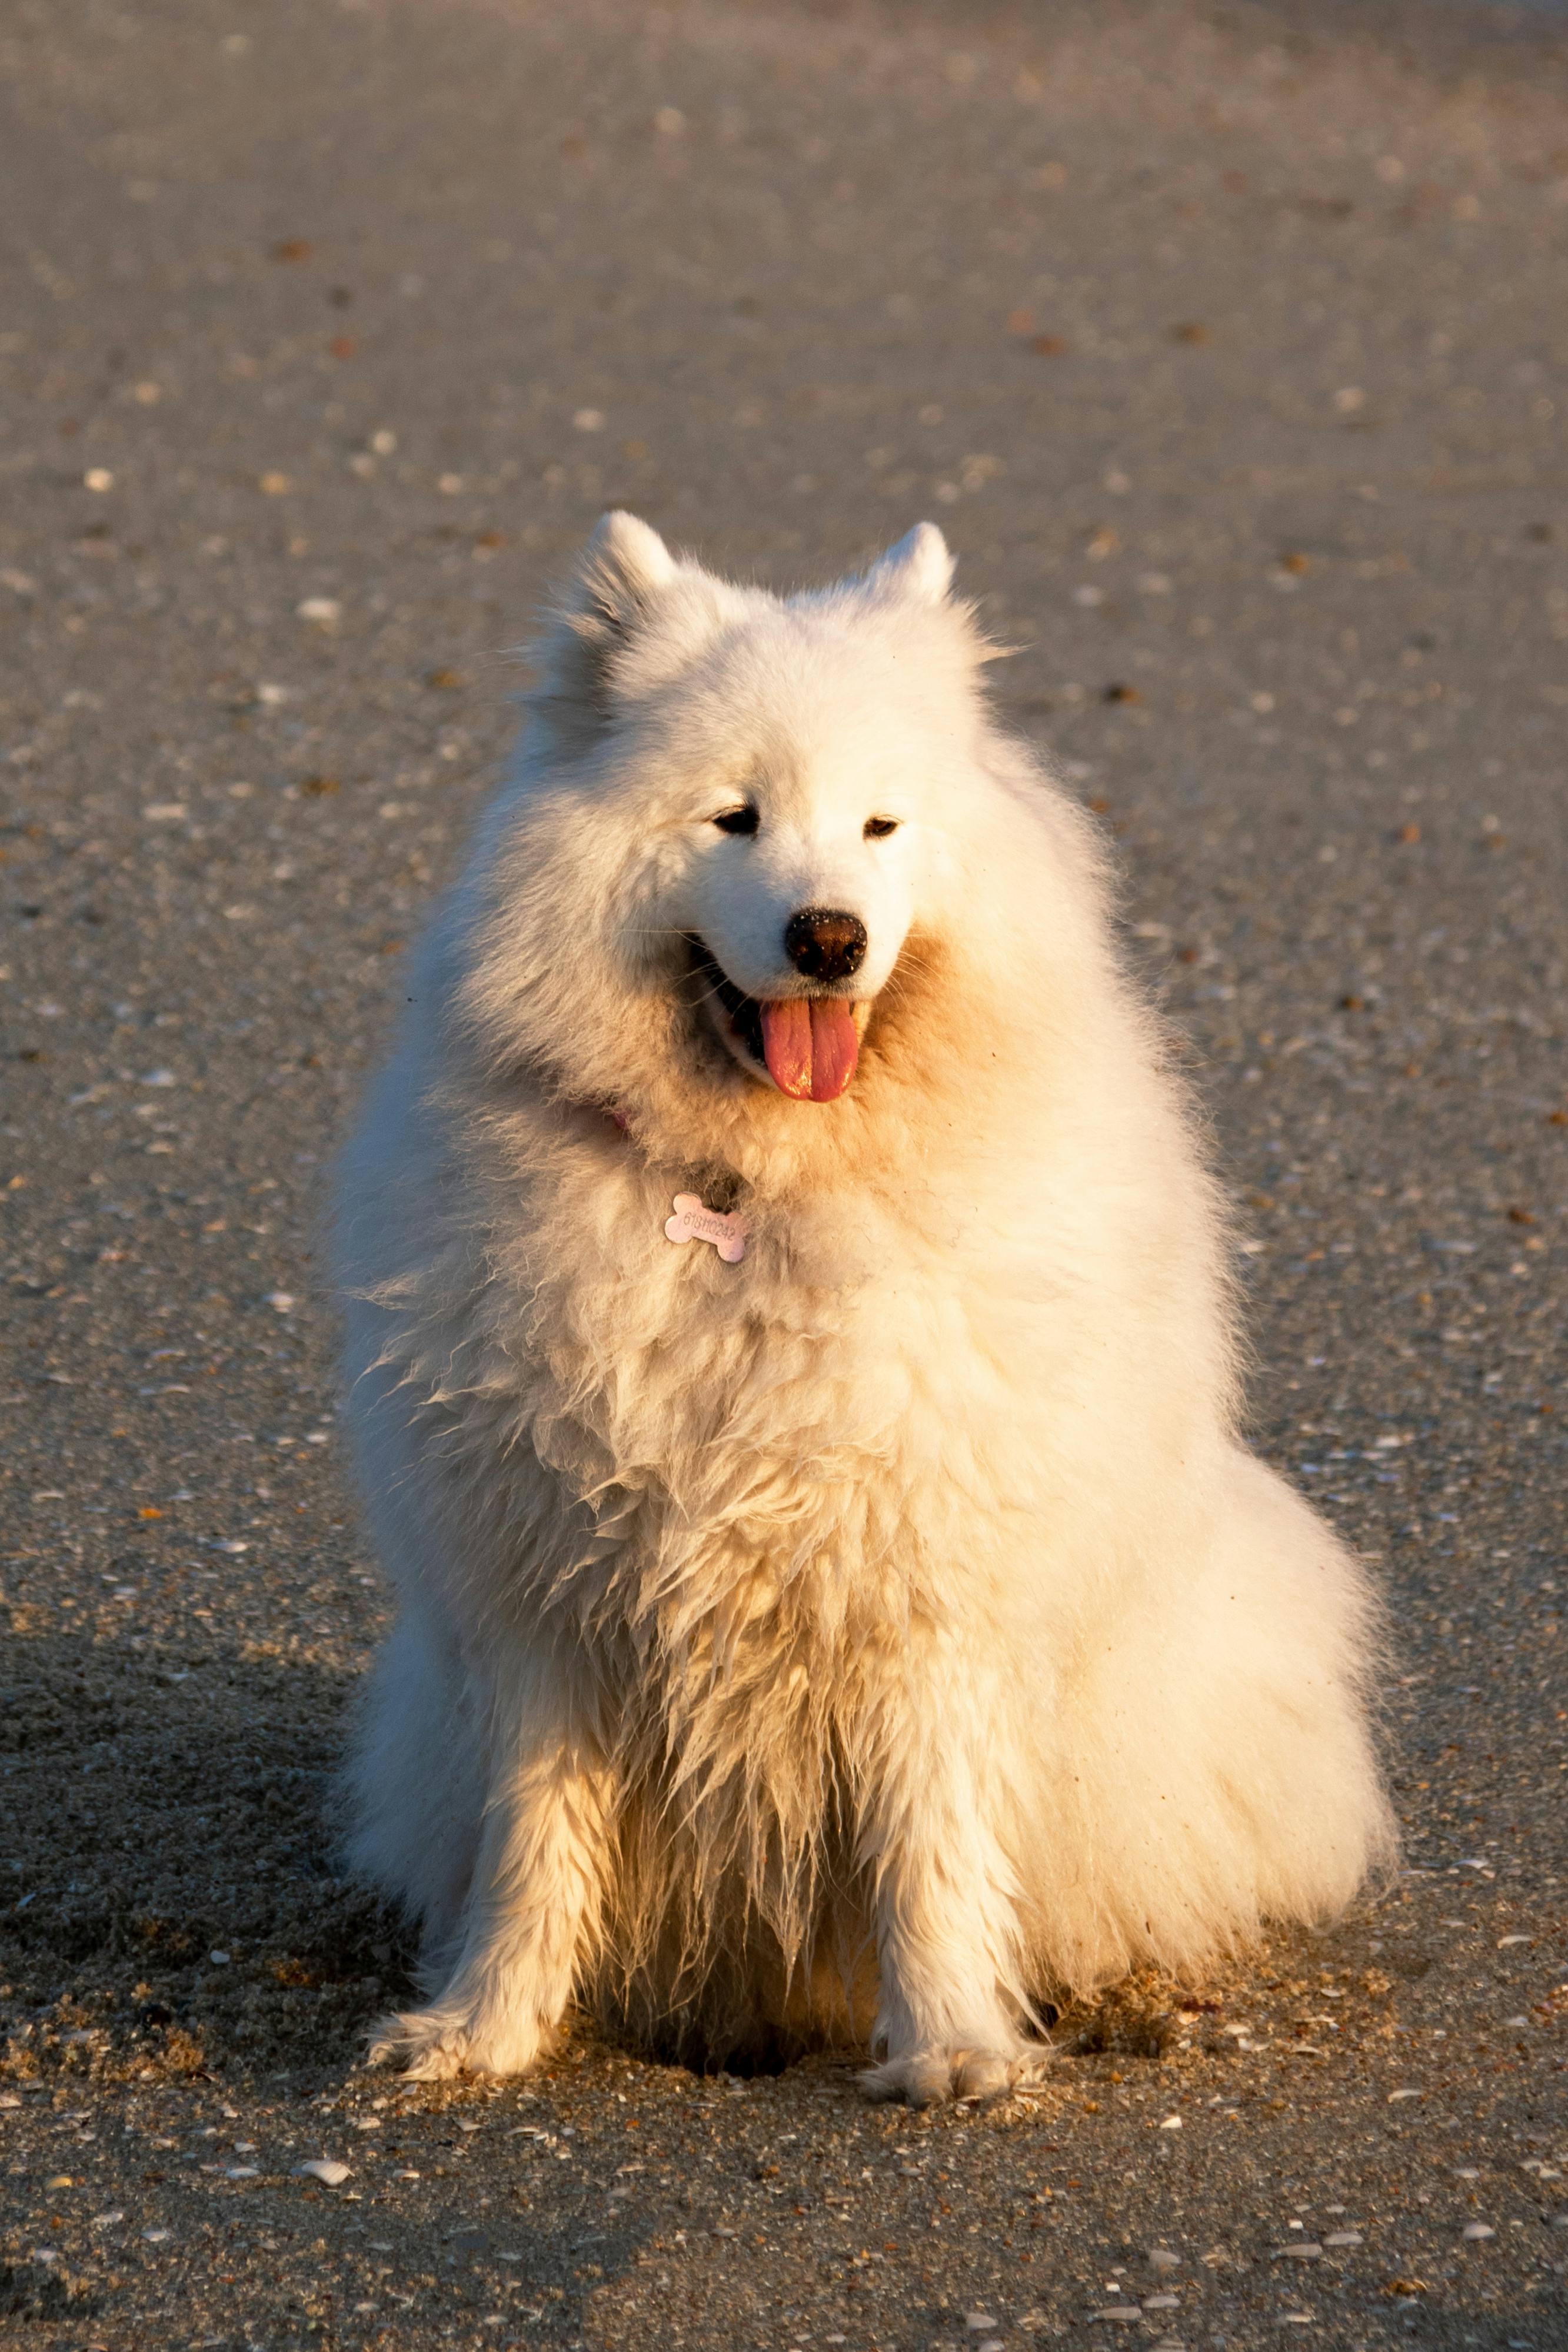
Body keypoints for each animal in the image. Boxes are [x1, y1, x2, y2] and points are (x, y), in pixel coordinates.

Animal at [338, 510, 1391, 2098]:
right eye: (734, 820)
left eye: (881, 829)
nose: (827, 935)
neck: (752, 1186)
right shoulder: (548, 1597)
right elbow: (534, 1846)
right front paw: (484, 2031)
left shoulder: (918, 1584)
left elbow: (929, 1843)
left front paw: (952, 2048)